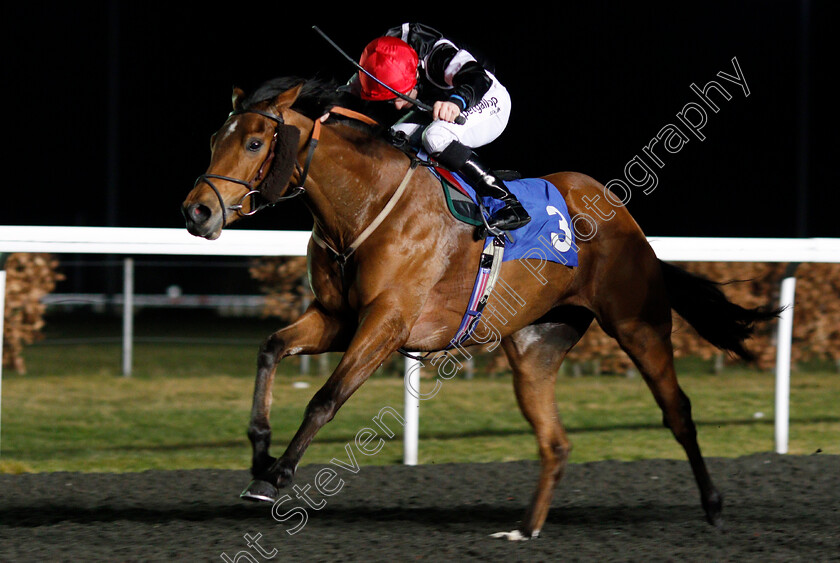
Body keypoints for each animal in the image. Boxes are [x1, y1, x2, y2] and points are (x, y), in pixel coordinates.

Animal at [182, 77, 776, 540]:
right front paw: (259, 454)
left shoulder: (386, 322)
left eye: (254, 142)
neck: (366, 207)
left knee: (677, 411)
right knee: (555, 442)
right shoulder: (337, 319)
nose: (197, 211)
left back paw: (713, 506)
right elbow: (271, 348)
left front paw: (277, 474)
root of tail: (626, 221)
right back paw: (526, 529)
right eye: (214, 139)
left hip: (638, 324)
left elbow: (326, 398)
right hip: (536, 347)